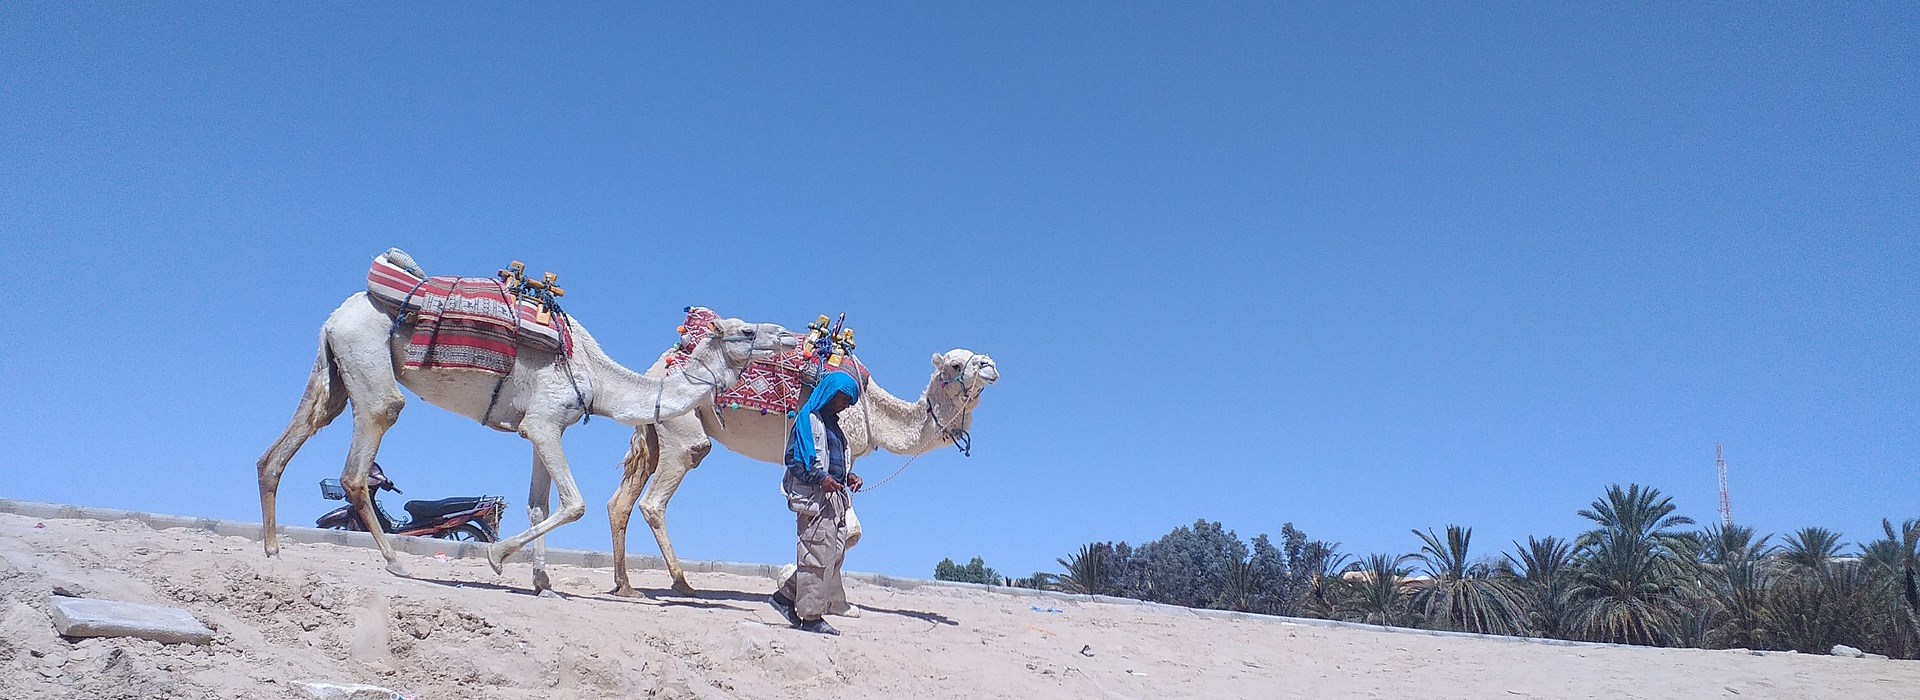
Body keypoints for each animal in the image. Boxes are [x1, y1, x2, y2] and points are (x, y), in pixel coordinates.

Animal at [255, 289, 794, 590]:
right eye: (747, 331)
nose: (789, 336)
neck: (596, 378)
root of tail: (339, 313)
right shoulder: (545, 422)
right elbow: (574, 503)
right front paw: (496, 559)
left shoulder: (538, 427)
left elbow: (540, 506)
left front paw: (542, 583)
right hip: (368, 361)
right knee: (360, 460)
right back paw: (395, 563)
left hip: (335, 365)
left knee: (287, 442)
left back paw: (274, 550)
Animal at [610, 347, 1006, 594]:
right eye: (954, 364)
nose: (990, 365)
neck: (872, 411)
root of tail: (654, 367)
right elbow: (850, 529)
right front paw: (799, 584)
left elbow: (849, 530)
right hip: (682, 427)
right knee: (661, 492)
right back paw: (681, 582)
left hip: (653, 429)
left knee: (621, 501)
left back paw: (625, 585)